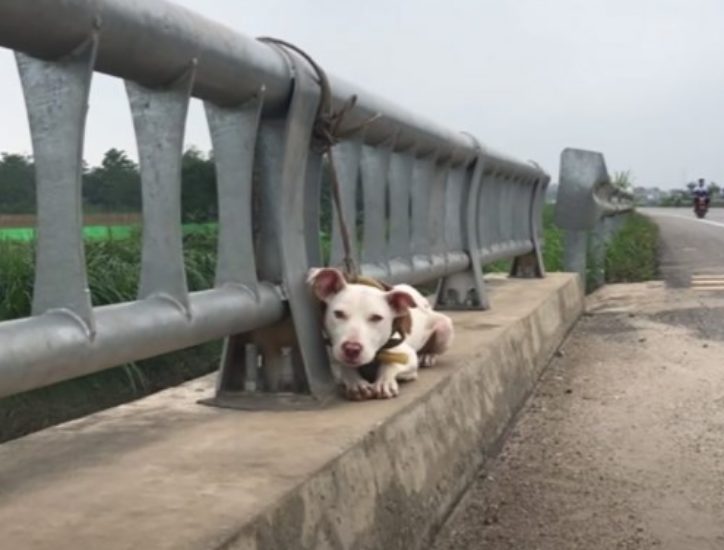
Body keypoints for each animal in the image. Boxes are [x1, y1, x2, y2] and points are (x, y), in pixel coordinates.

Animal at [306, 270, 452, 404]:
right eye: (338, 314)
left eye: (376, 318)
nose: (351, 349)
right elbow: (343, 367)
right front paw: (356, 382)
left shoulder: (408, 356)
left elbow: (391, 363)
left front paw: (384, 381)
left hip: (445, 326)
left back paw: (427, 355)